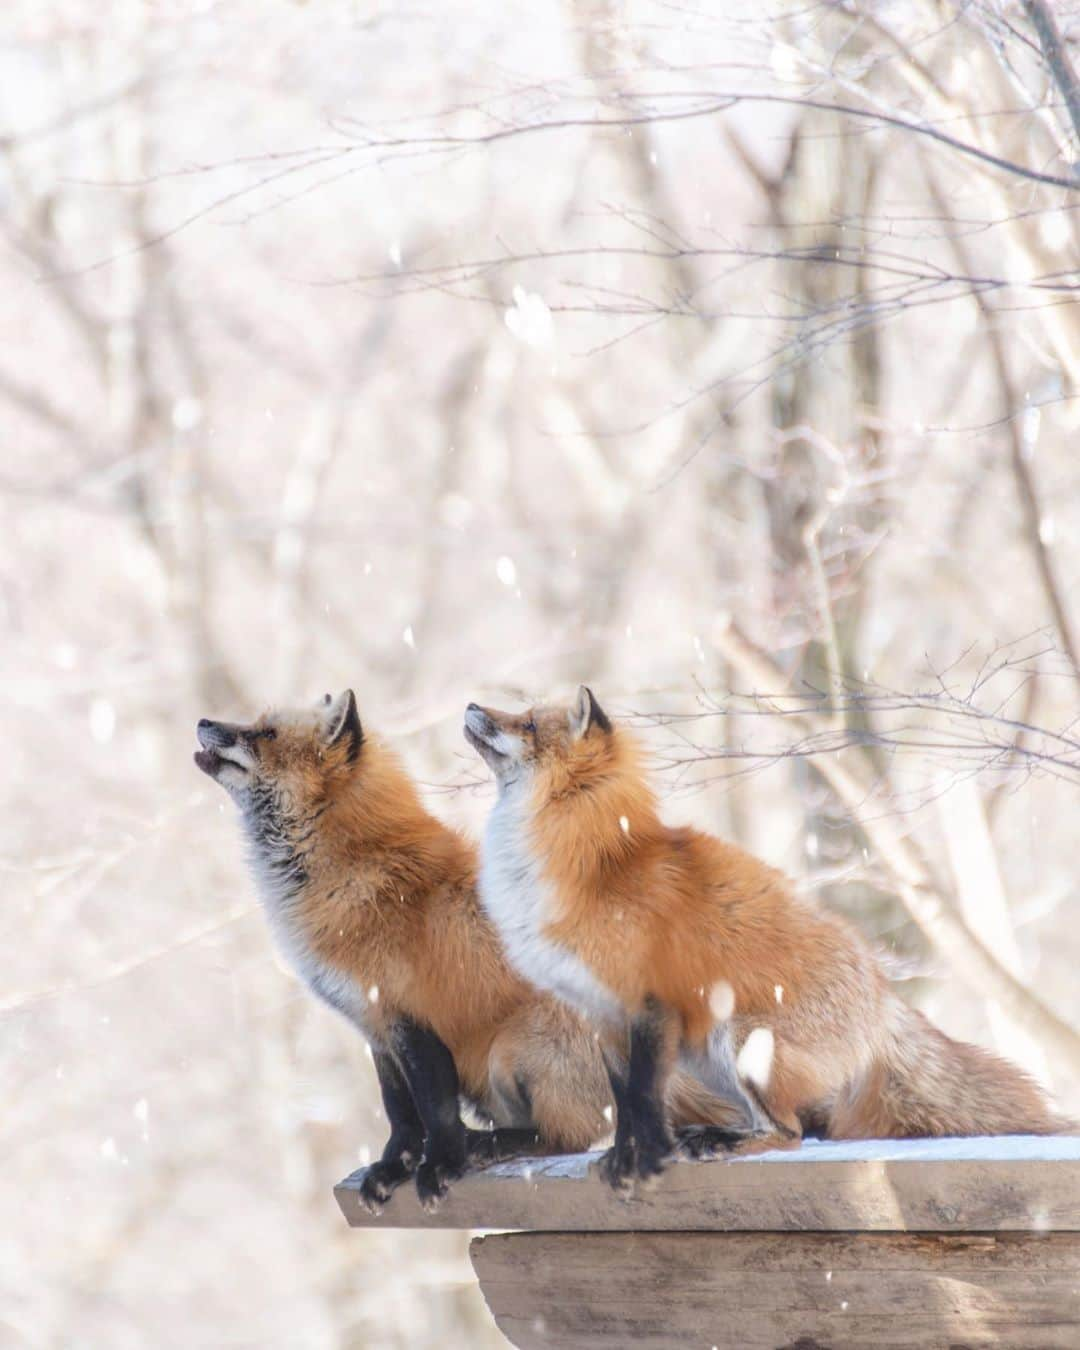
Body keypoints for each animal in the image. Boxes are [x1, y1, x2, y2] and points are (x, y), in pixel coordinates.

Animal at [194, 691, 734, 1209]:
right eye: (256, 722)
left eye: (265, 733)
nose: (203, 722)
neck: (348, 873)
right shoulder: (374, 1026)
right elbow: (400, 1115)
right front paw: (393, 1170)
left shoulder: (411, 1015)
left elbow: (434, 1111)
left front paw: (440, 1168)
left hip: (515, 1049)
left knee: (568, 1139)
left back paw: (497, 1145)